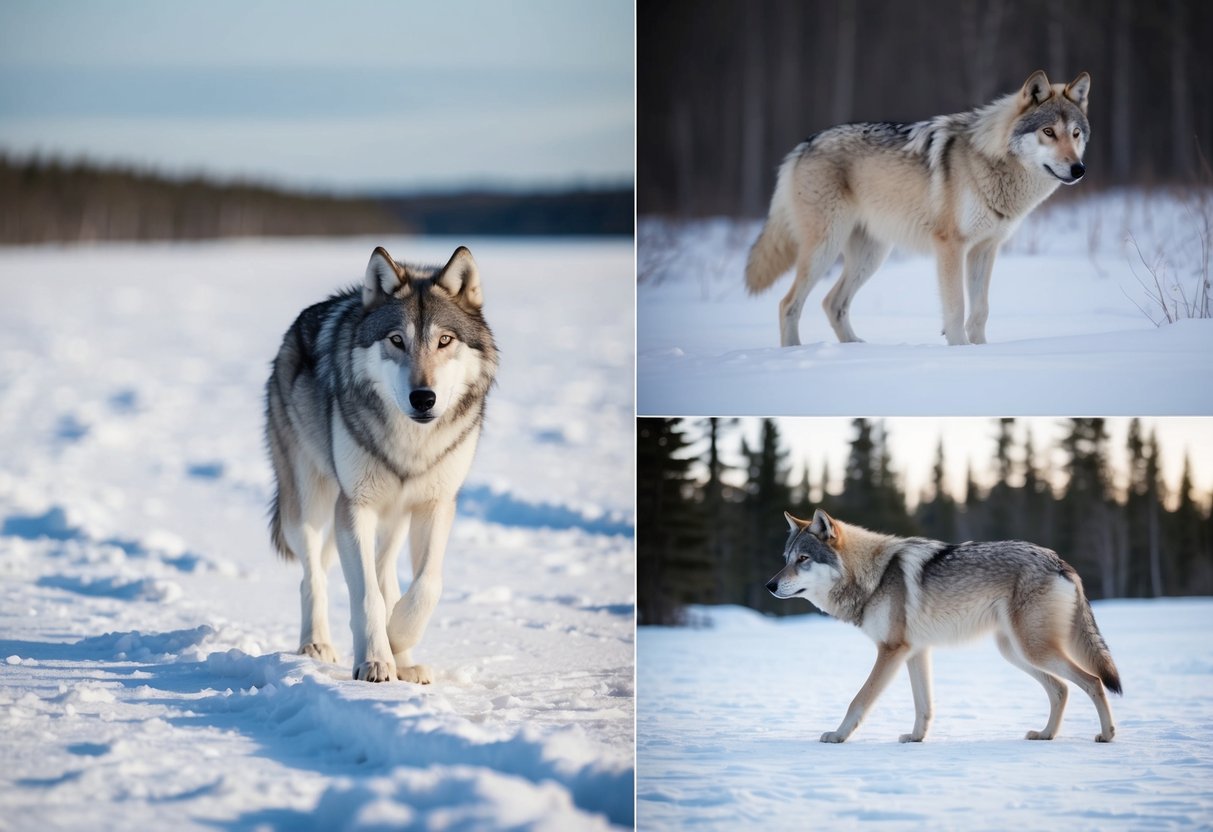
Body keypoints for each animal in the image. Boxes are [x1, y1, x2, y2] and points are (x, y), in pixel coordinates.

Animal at [264, 245, 498, 683]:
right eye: (396, 340)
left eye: (444, 340)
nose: (423, 398)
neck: (411, 445)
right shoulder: (354, 507)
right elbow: (367, 597)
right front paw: (376, 660)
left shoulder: (435, 506)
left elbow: (426, 586)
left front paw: (397, 642)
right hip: (310, 505)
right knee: (314, 576)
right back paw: (316, 644)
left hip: (394, 518)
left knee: (386, 574)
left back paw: (405, 662)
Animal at [745, 70, 1091, 346]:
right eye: (1048, 132)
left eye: (1075, 134)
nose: (1079, 169)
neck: (990, 159)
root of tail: (803, 145)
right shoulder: (951, 246)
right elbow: (956, 309)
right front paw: (961, 352)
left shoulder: (985, 249)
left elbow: (980, 310)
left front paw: (981, 352)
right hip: (825, 249)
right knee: (788, 304)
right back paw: (794, 353)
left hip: (871, 256)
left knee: (832, 303)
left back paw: (855, 349)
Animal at [765, 509, 1121, 743]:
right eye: (786, 559)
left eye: (803, 559)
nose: (769, 585)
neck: (873, 577)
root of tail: (1059, 561)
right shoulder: (914, 652)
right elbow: (923, 705)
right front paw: (916, 738)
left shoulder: (891, 650)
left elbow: (859, 700)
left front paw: (838, 736)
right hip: (1015, 652)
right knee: (1061, 689)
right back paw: (1046, 734)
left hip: (1033, 650)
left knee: (1093, 681)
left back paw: (1106, 734)